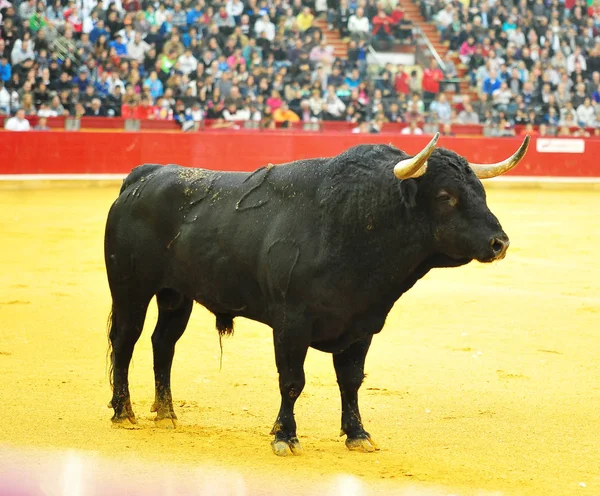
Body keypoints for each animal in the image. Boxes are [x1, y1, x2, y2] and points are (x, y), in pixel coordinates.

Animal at [104, 136, 528, 458]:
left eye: (481, 192)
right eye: (445, 196)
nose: (500, 243)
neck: (355, 222)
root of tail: (144, 176)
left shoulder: (361, 325)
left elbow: (351, 380)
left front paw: (358, 435)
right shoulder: (291, 324)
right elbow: (293, 381)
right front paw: (284, 436)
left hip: (176, 295)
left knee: (164, 343)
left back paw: (166, 413)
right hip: (130, 289)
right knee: (125, 341)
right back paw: (124, 412)